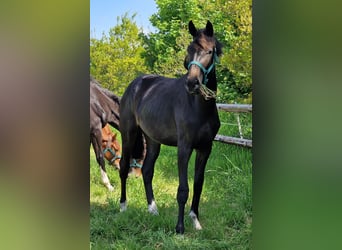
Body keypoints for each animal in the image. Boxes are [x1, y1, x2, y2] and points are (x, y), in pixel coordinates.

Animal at [119, 20, 223, 233]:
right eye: (189, 49)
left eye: (209, 51)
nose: (192, 83)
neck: (198, 106)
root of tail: (135, 84)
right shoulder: (184, 147)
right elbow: (183, 189)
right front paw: (180, 228)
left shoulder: (205, 148)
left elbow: (198, 184)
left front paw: (195, 221)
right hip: (128, 134)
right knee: (123, 167)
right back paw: (123, 206)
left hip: (152, 140)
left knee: (147, 170)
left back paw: (152, 209)